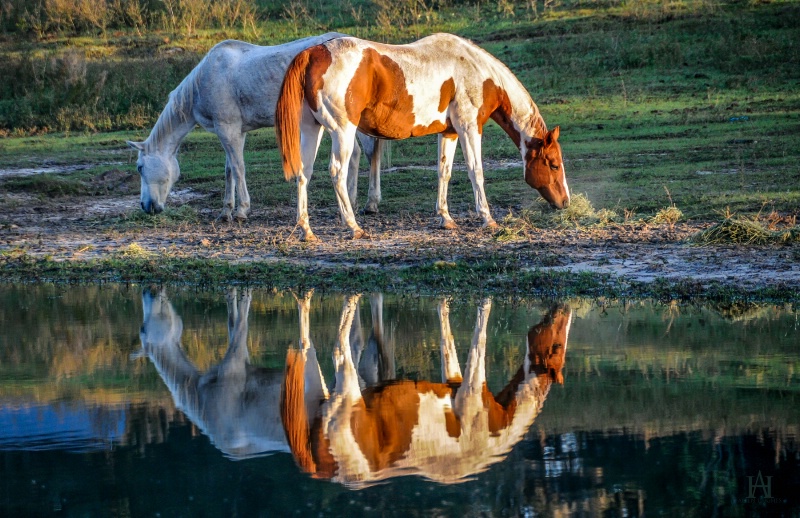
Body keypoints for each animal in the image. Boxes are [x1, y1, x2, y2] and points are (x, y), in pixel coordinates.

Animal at [128, 34, 384, 221]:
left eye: (140, 167)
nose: (146, 206)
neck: (204, 82)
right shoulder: (233, 132)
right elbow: (229, 169)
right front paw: (226, 211)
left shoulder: (228, 129)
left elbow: (238, 168)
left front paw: (242, 210)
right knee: (360, 153)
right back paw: (356, 202)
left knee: (367, 153)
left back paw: (365, 203)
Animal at [276, 33, 568, 241]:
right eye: (554, 164)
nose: (565, 202)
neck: (478, 72)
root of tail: (314, 53)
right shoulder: (469, 127)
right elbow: (476, 171)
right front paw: (488, 218)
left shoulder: (449, 132)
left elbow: (444, 172)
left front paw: (446, 218)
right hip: (342, 132)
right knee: (337, 172)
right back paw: (353, 227)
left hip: (313, 128)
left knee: (304, 173)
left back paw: (306, 231)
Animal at [282, 296, 568, 488]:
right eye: (556, 346)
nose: (564, 309)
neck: (496, 430)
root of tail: (324, 469)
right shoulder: (471, 387)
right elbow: (480, 339)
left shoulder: (455, 380)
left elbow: (446, 338)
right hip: (346, 391)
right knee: (340, 348)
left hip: (313, 389)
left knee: (306, 347)